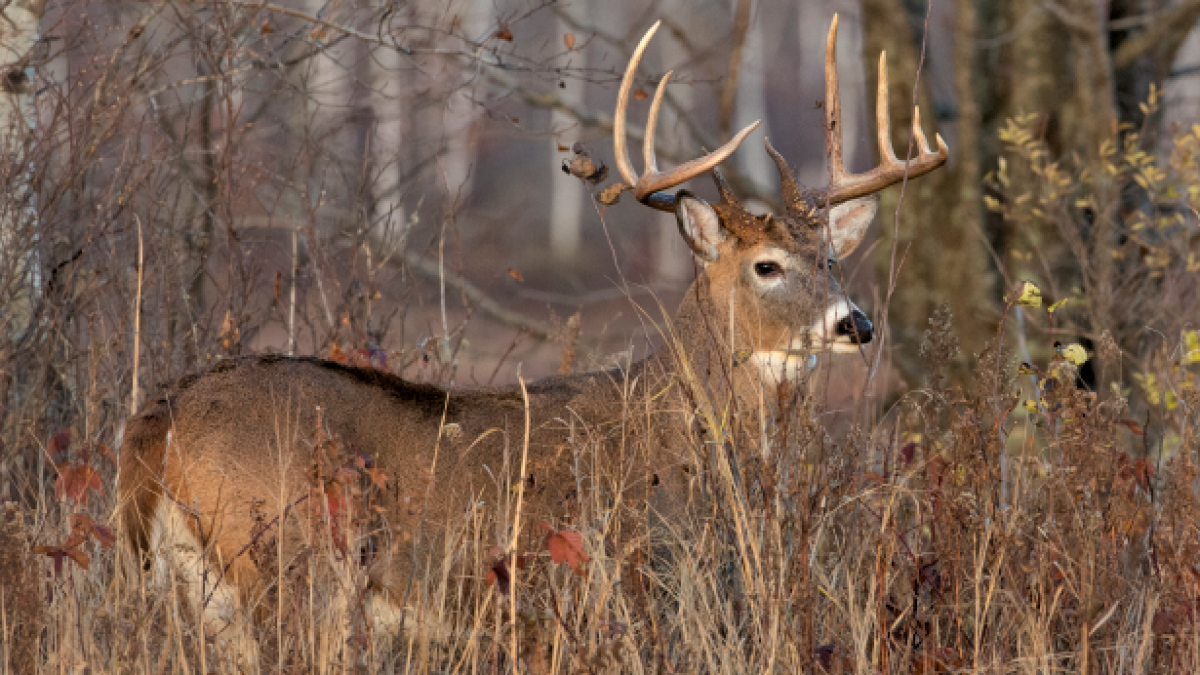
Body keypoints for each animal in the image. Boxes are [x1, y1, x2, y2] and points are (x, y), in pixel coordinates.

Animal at [118, 15, 947, 667]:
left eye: (830, 258)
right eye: (766, 265)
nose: (855, 323)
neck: (690, 432)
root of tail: (155, 424)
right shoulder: (632, 576)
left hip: (198, 585)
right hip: (277, 562)